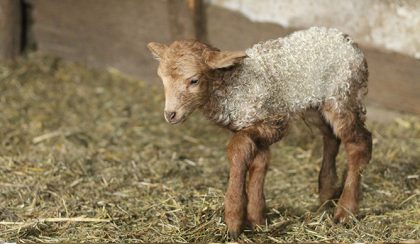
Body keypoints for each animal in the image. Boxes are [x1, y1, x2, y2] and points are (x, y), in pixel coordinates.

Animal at [147, 26, 370, 238]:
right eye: (162, 79)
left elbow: (238, 149)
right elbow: (260, 162)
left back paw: (345, 212)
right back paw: (327, 193)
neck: (234, 86)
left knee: (359, 144)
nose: (171, 114)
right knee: (331, 137)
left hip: (343, 94)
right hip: (316, 105)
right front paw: (257, 219)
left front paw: (234, 219)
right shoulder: (255, 127)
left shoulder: (274, 120)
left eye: (193, 80)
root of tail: (348, 41)